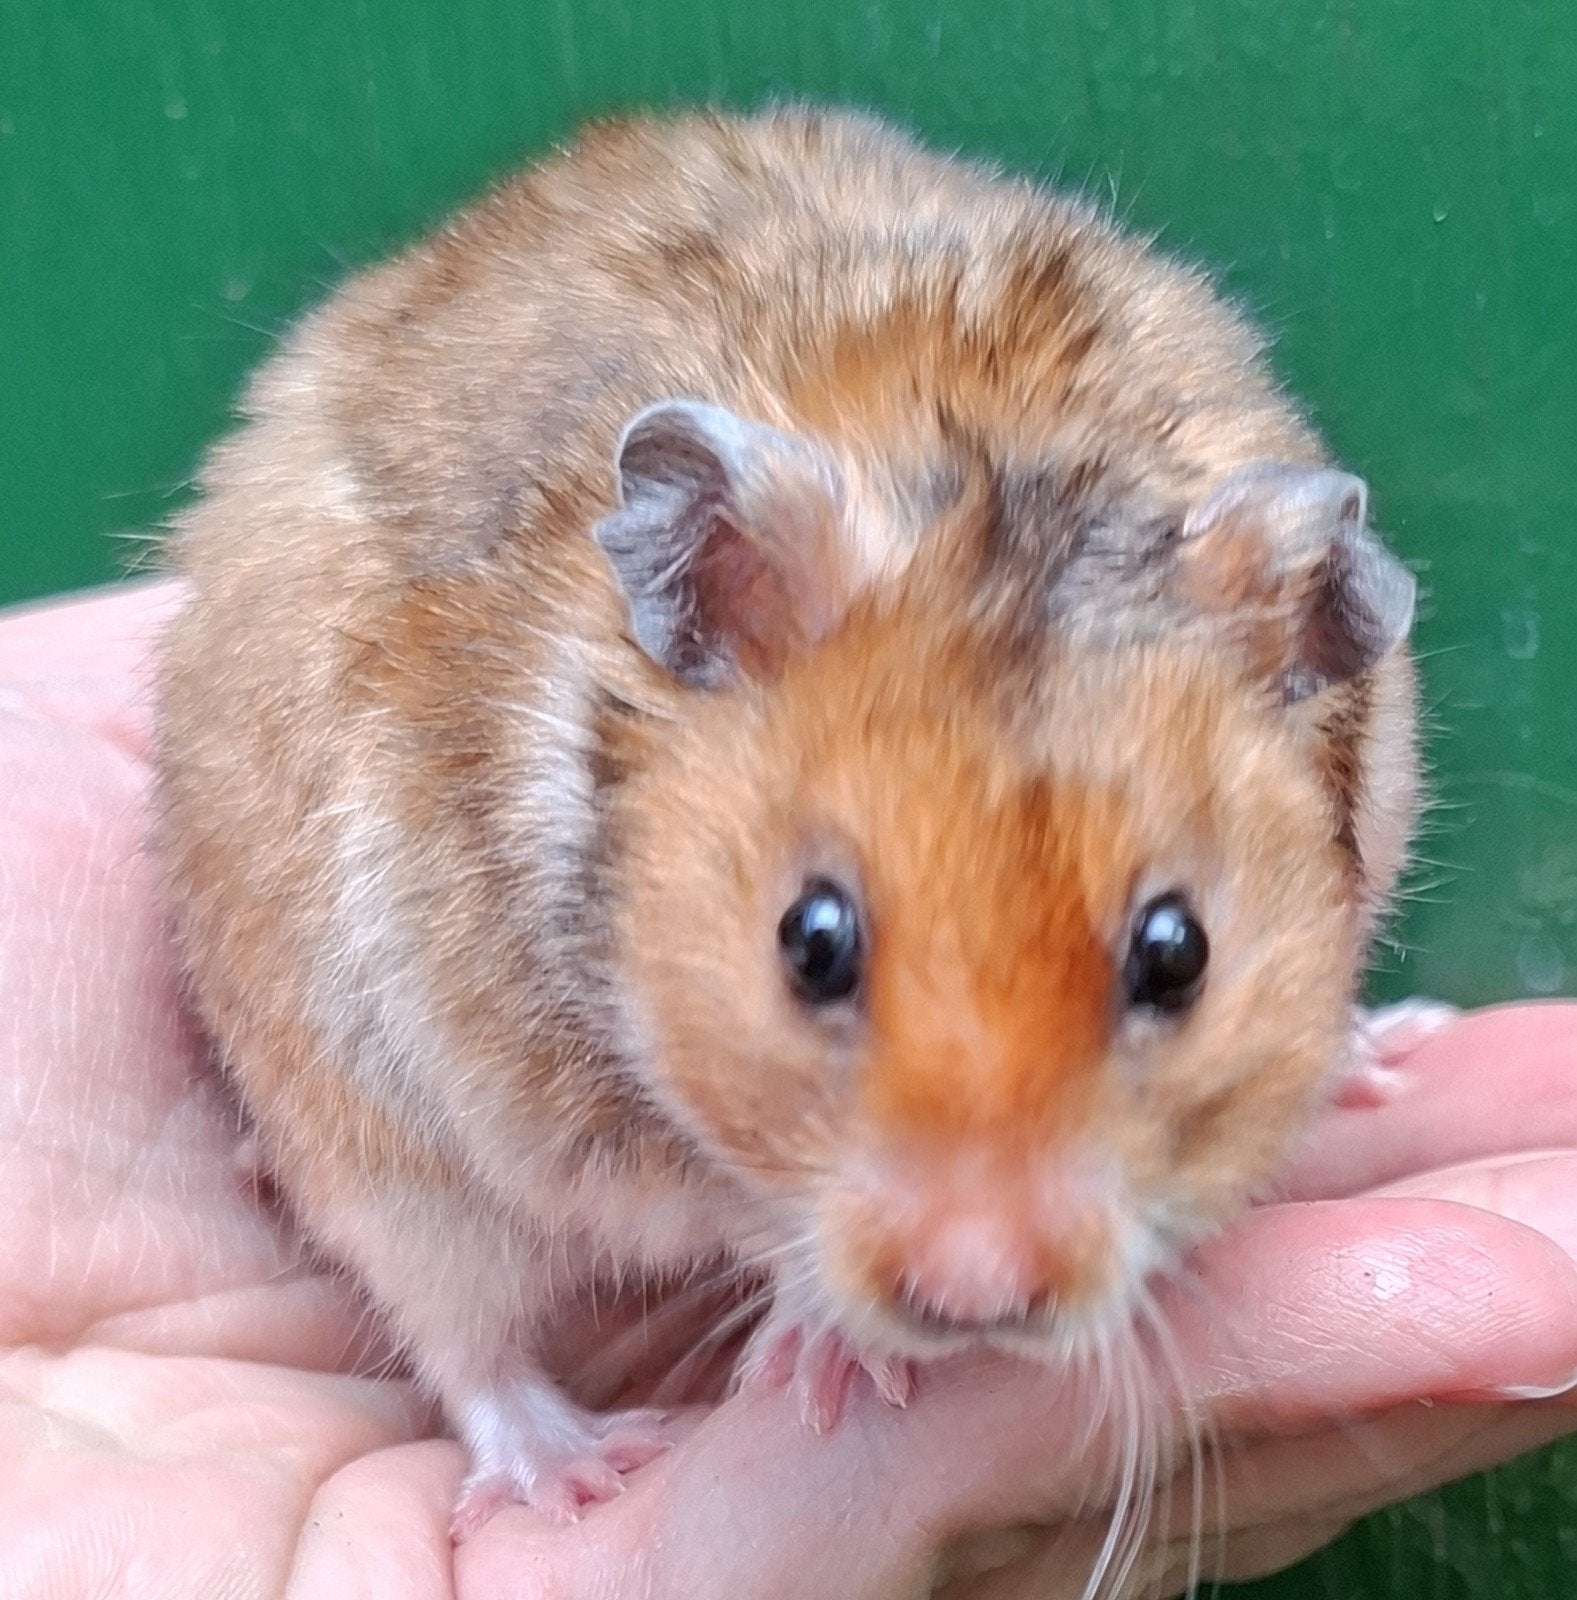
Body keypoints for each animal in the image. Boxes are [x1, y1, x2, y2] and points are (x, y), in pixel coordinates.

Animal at [153, 105, 1422, 1534]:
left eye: (1177, 954)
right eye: (809, 943)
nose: (971, 1296)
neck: (990, 467)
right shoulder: (520, 1080)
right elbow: (716, 1215)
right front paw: (820, 1361)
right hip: (355, 1130)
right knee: (461, 1331)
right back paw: (570, 1473)